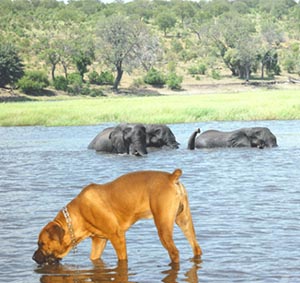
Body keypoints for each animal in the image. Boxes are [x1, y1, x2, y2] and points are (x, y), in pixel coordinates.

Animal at [32, 170, 202, 266]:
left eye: (42, 243)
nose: (33, 257)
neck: (78, 215)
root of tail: (171, 177)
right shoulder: (99, 241)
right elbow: (94, 258)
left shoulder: (117, 236)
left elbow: (122, 259)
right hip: (184, 221)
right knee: (196, 247)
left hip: (163, 227)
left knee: (174, 252)